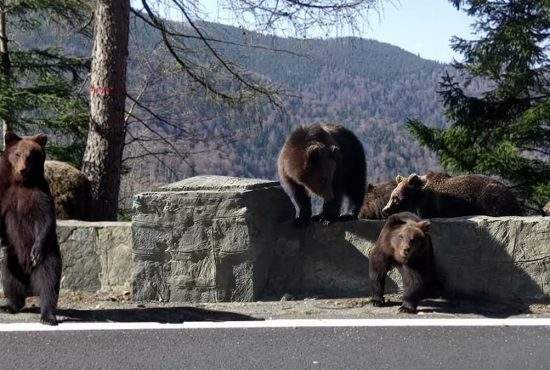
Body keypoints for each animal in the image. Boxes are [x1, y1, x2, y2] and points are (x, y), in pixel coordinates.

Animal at [0, 132, 62, 324]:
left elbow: (46, 219)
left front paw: (35, 251)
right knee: (9, 279)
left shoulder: (39, 195)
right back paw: (10, 305)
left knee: (49, 280)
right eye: (17, 154)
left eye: (31, 155)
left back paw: (48, 315)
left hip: (50, 254)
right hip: (13, 257)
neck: (21, 183)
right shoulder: (5, 195)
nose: (23, 169)